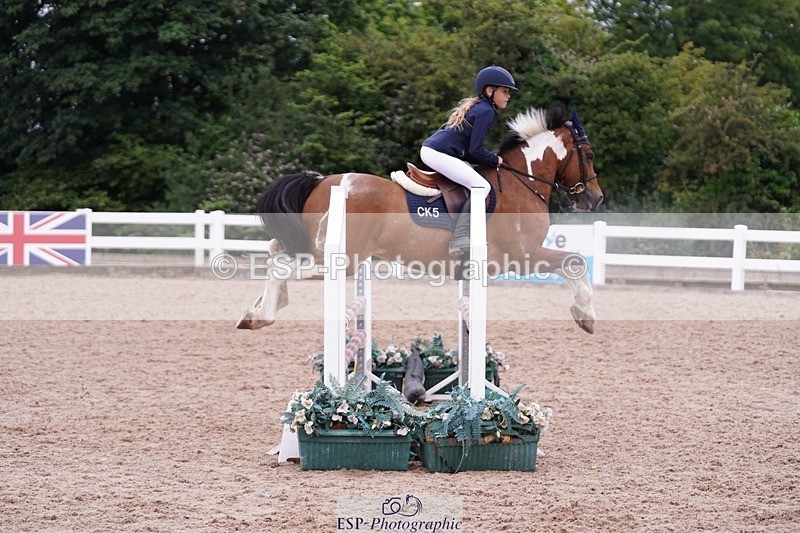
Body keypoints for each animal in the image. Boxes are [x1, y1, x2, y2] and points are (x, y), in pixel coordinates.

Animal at [237, 105, 604, 333]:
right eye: (588, 154)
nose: (595, 198)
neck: (521, 181)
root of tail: (322, 181)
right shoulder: (523, 255)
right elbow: (574, 261)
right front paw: (586, 314)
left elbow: (572, 263)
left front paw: (583, 313)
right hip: (340, 258)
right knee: (281, 264)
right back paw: (261, 314)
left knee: (275, 251)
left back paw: (260, 308)